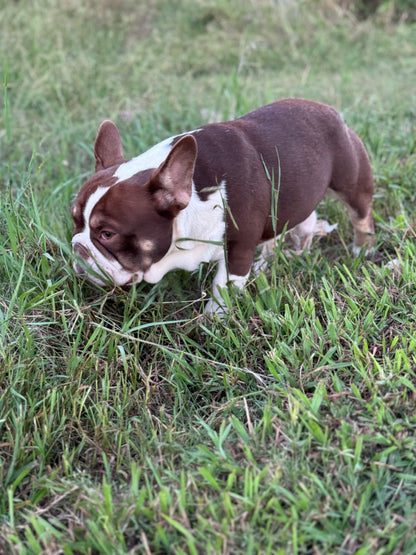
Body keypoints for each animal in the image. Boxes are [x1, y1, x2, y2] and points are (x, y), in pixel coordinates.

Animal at [70, 99, 374, 312]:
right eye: (75, 221)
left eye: (107, 234)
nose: (78, 247)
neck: (193, 194)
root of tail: (327, 109)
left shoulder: (238, 248)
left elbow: (222, 287)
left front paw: (213, 319)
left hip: (352, 182)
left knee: (360, 215)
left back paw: (362, 249)